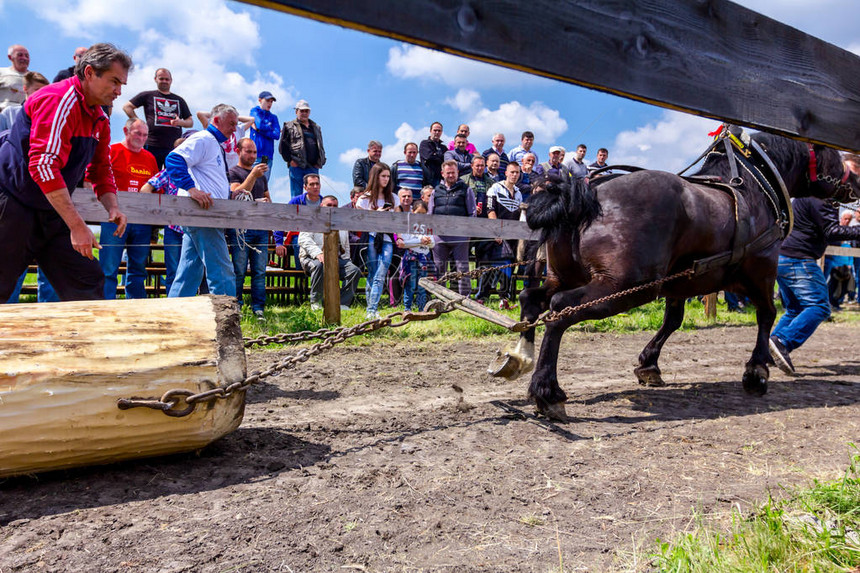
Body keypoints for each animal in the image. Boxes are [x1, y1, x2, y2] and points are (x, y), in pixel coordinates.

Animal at [498, 132, 860, 422]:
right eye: (834, 155)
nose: (855, 184)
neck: (756, 190)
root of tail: (586, 190)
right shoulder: (761, 272)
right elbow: (766, 315)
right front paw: (757, 371)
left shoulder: (681, 283)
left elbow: (672, 320)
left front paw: (649, 365)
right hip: (625, 287)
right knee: (560, 310)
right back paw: (547, 391)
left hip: (568, 276)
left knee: (532, 299)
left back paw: (520, 358)